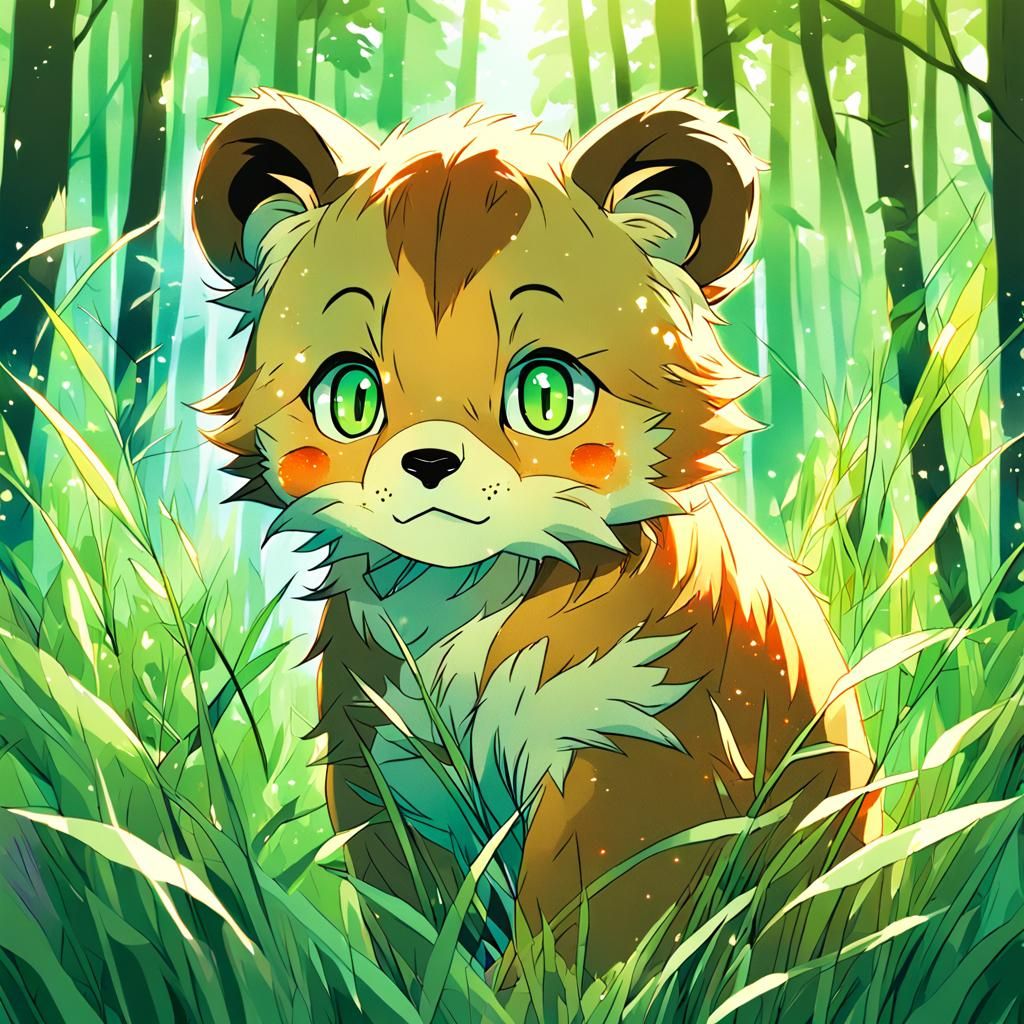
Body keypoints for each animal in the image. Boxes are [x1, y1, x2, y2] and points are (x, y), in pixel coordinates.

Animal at [191, 88, 879, 976]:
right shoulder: (386, 762)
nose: (429, 460)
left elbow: (568, 953)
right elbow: (417, 940)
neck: (459, 602)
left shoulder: (632, 755)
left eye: (546, 394)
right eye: (351, 396)